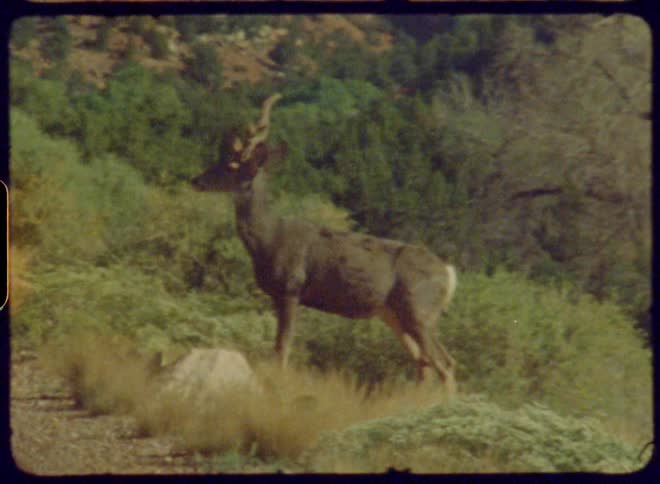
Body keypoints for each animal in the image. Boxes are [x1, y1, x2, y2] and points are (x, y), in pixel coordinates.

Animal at [192, 94, 458, 395]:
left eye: (231, 166)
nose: (196, 180)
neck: (270, 239)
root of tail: (448, 273)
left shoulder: (290, 289)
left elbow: (283, 347)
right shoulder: (278, 294)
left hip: (420, 312)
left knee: (445, 363)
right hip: (394, 314)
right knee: (424, 363)